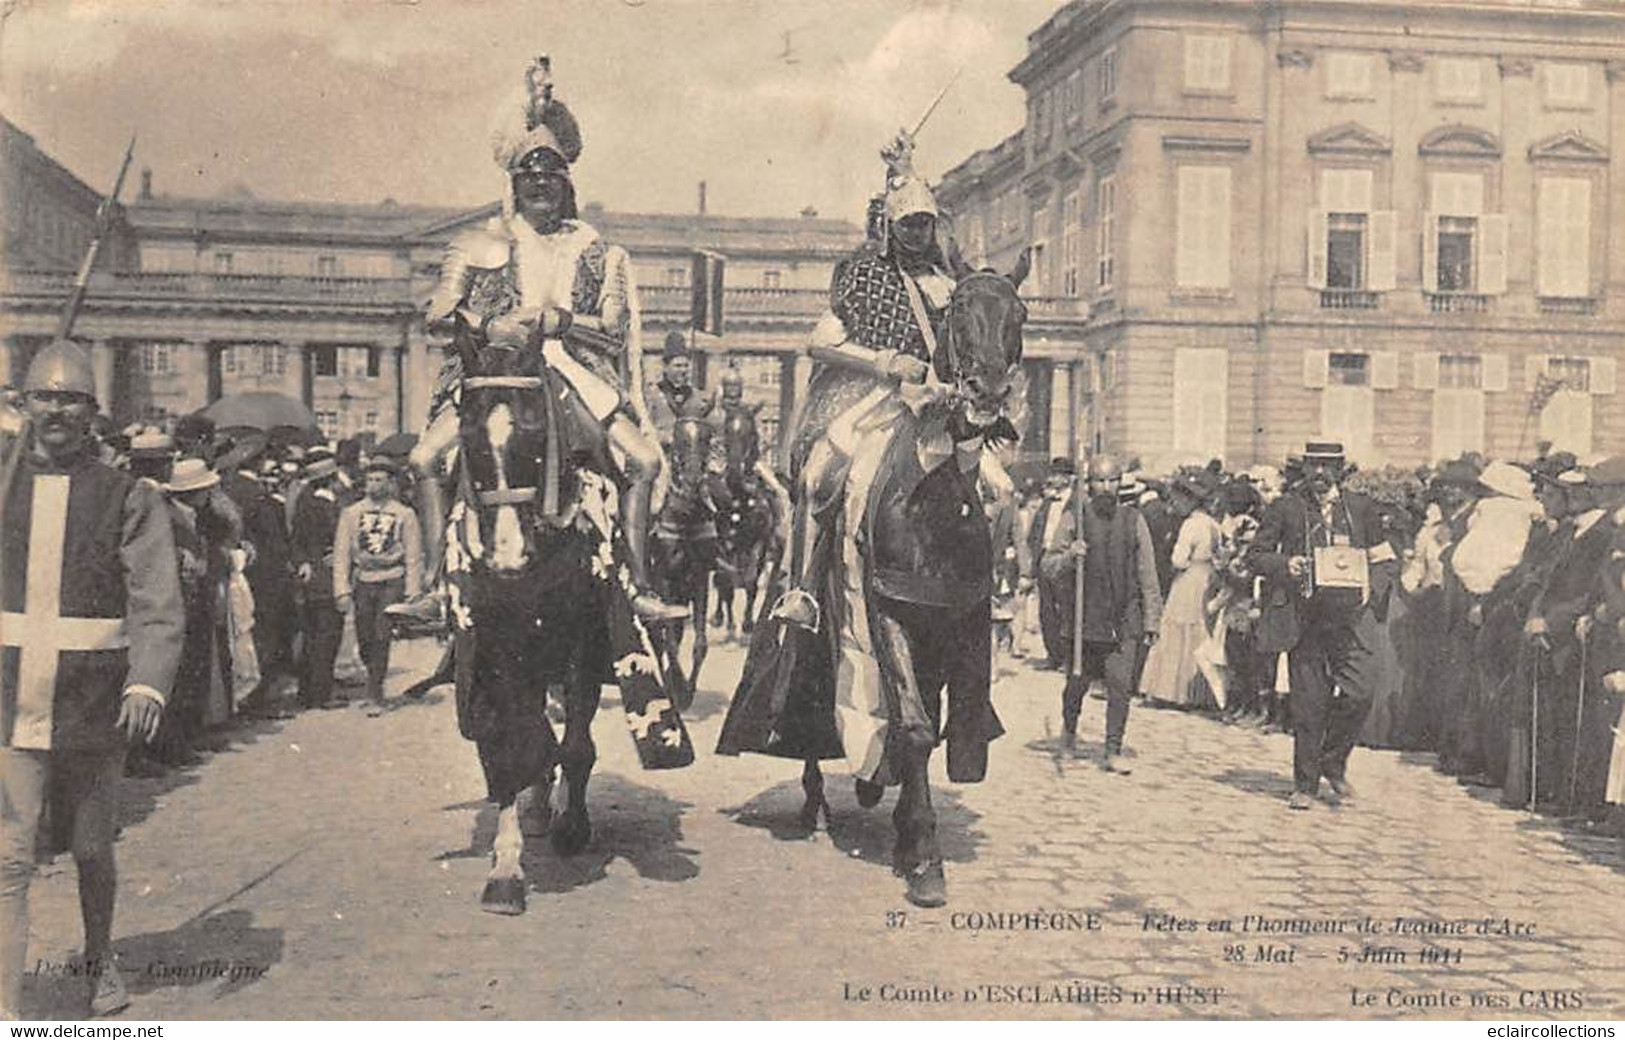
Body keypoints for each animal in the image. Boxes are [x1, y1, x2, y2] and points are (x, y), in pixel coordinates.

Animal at [455, 338, 617, 916]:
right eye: (467, 435)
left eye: (535, 432)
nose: (507, 559)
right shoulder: (498, 646)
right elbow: (509, 746)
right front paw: (505, 870)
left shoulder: (584, 645)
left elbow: (577, 745)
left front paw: (574, 825)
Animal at [711, 406, 786, 643]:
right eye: (726, 430)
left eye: (750, 432)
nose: (735, 467)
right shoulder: (724, 543)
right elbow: (725, 583)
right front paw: (730, 625)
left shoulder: (760, 543)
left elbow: (752, 582)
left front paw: (747, 624)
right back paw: (720, 618)